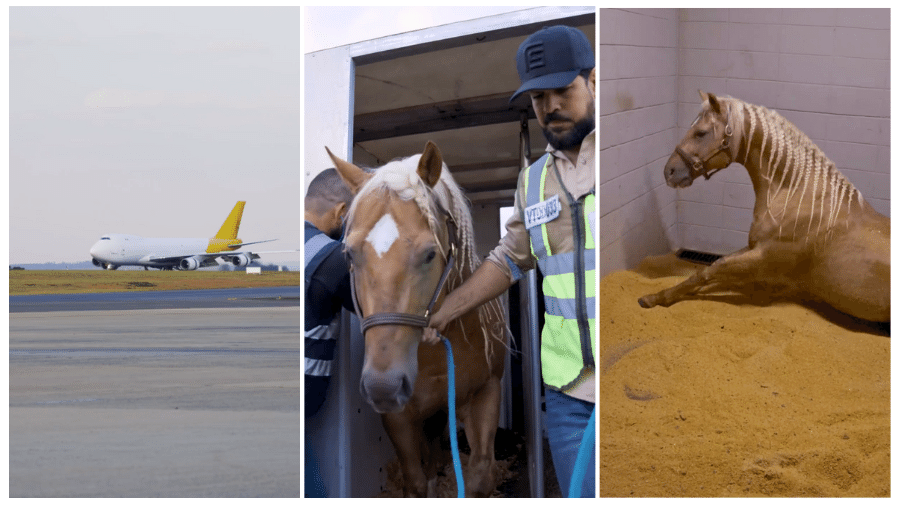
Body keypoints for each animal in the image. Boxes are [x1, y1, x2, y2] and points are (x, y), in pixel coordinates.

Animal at [326, 140, 510, 496]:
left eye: (429, 253)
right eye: (350, 254)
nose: (383, 385)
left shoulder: (487, 395)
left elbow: (479, 475)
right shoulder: (398, 418)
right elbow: (415, 478)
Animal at [644, 91, 888, 322]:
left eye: (700, 133)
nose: (669, 172)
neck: (798, 195)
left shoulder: (761, 259)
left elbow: (709, 271)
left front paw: (656, 298)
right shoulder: (754, 249)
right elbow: (711, 271)